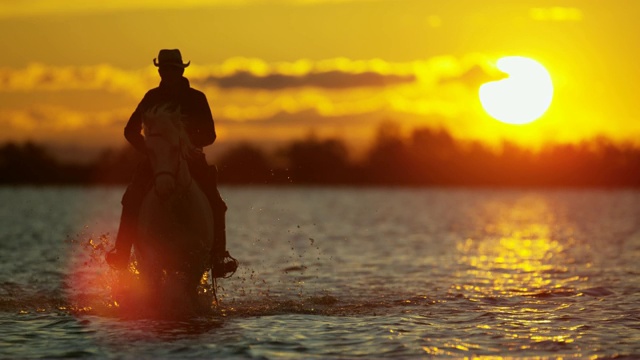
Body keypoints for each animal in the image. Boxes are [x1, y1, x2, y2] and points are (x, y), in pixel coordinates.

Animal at [132, 104, 215, 312]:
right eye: (149, 150)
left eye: (175, 148)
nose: (164, 188)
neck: (176, 210)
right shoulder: (153, 257)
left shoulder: (196, 261)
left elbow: (188, 291)